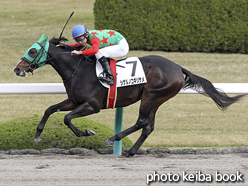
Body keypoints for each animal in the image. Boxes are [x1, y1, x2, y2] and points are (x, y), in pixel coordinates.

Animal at [13, 34, 244, 155]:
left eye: (32, 51)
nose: (17, 68)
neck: (78, 69)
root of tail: (178, 67)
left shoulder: (92, 105)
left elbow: (67, 118)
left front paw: (87, 132)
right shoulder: (73, 101)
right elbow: (50, 109)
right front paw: (37, 136)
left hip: (151, 95)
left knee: (142, 121)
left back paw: (113, 139)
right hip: (157, 99)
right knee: (149, 126)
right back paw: (132, 150)